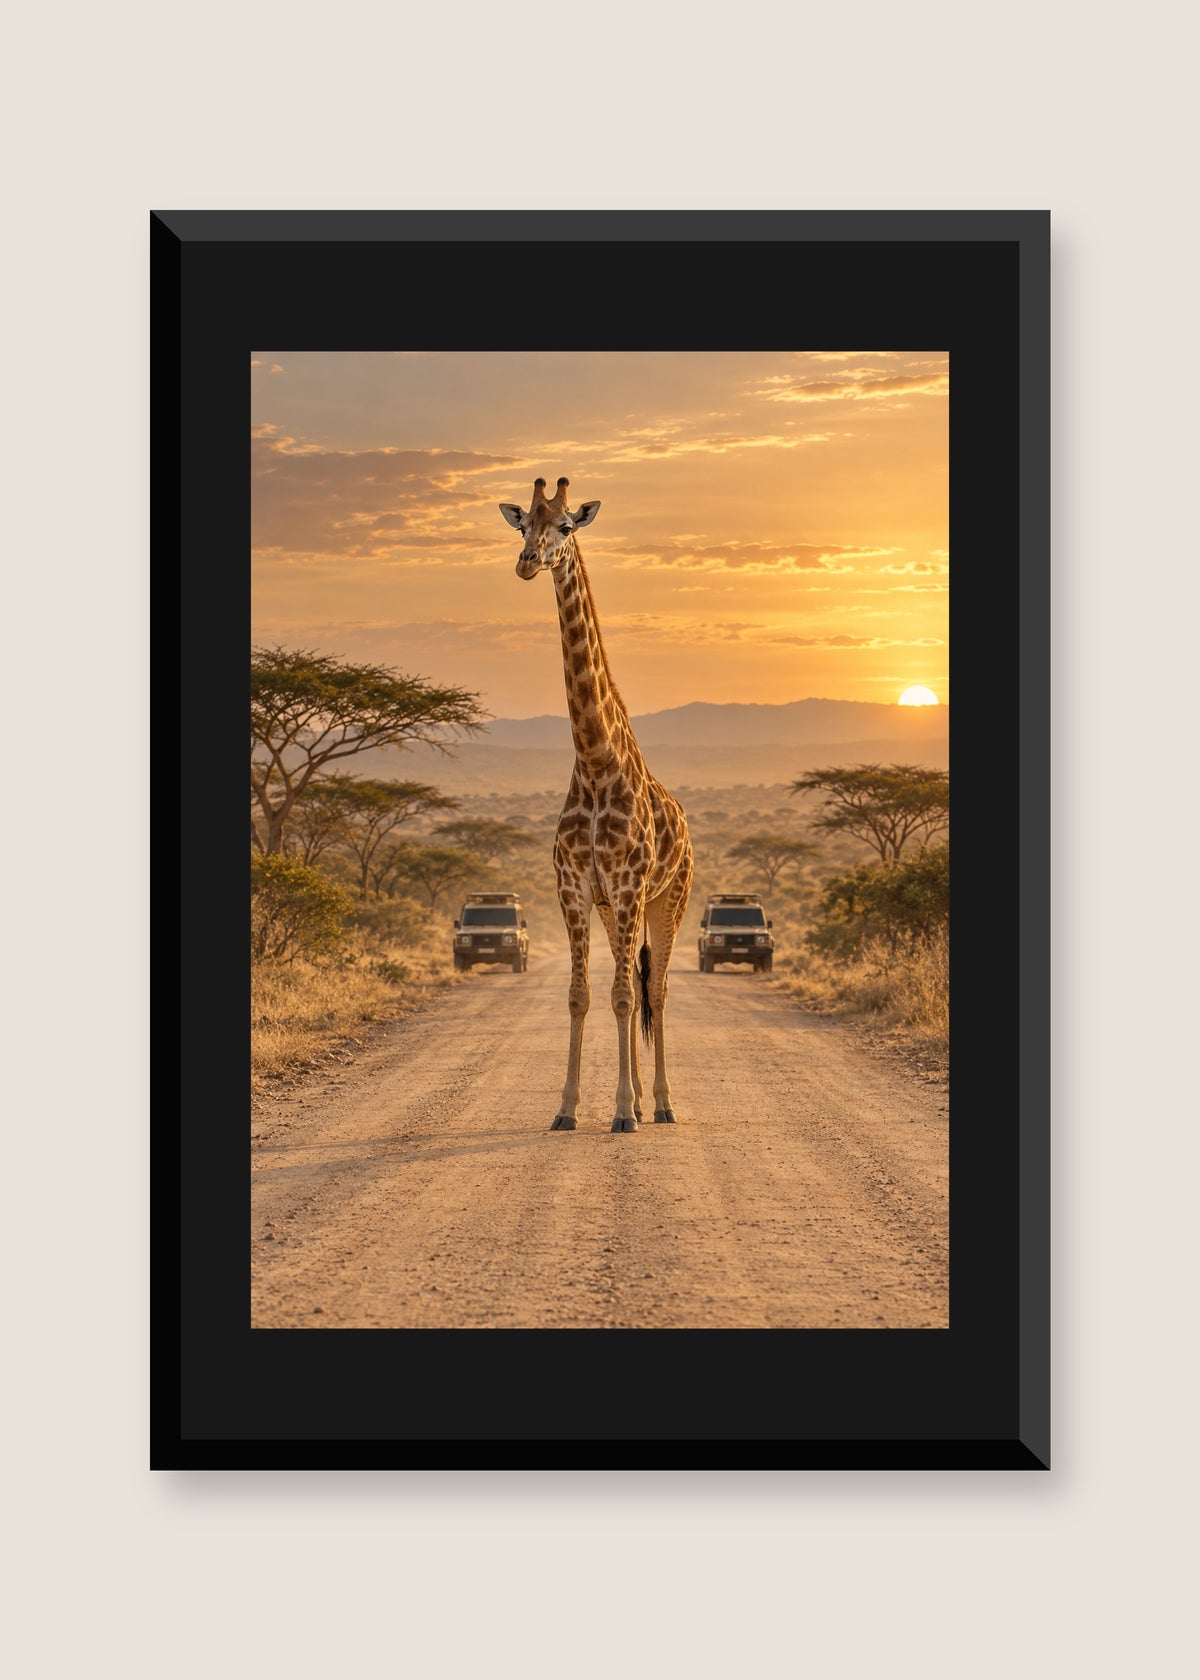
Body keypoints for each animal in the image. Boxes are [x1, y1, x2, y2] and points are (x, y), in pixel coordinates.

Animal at [499, 477, 694, 1133]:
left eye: (565, 527)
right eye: (523, 524)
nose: (528, 562)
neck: (593, 760)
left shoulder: (631, 886)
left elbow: (627, 996)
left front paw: (625, 1112)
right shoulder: (577, 887)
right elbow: (583, 995)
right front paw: (567, 1108)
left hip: (668, 899)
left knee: (654, 990)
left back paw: (657, 1104)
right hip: (617, 911)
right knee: (627, 984)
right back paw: (631, 1099)